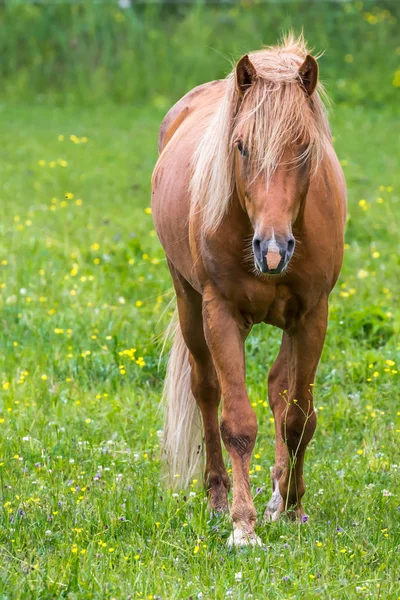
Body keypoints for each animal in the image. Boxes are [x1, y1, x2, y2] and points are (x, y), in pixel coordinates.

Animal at [152, 35, 346, 548]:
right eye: (240, 146)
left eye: (304, 147)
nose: (273, 250)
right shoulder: (220, 314)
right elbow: (237, 422)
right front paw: (243, 526)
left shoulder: (312, 316)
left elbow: (299, 418)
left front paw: (292, 506)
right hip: (189, 303)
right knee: (206, 391)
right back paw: (218, 498)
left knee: (279, 389)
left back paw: (278, 496)